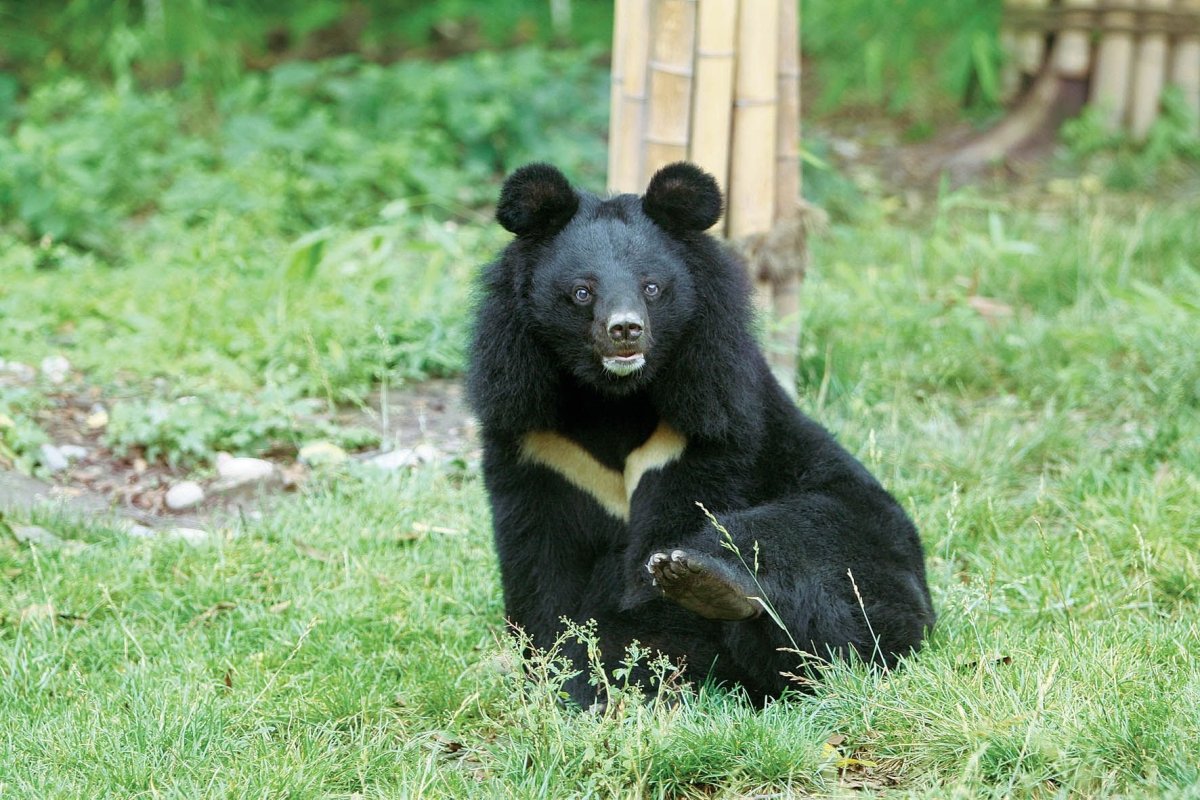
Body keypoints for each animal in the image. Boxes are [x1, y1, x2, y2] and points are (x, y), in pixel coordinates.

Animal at [463, 163, 931, 705]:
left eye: (651, 287)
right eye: (582, 291)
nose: (625, 330)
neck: (614, 397)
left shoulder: (703, 430)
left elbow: (658, 573)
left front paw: (608, 669)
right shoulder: (538, 440)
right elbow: (540, 561)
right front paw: (561, 670)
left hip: (868, 540)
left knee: (803, 546)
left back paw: (707, 583)